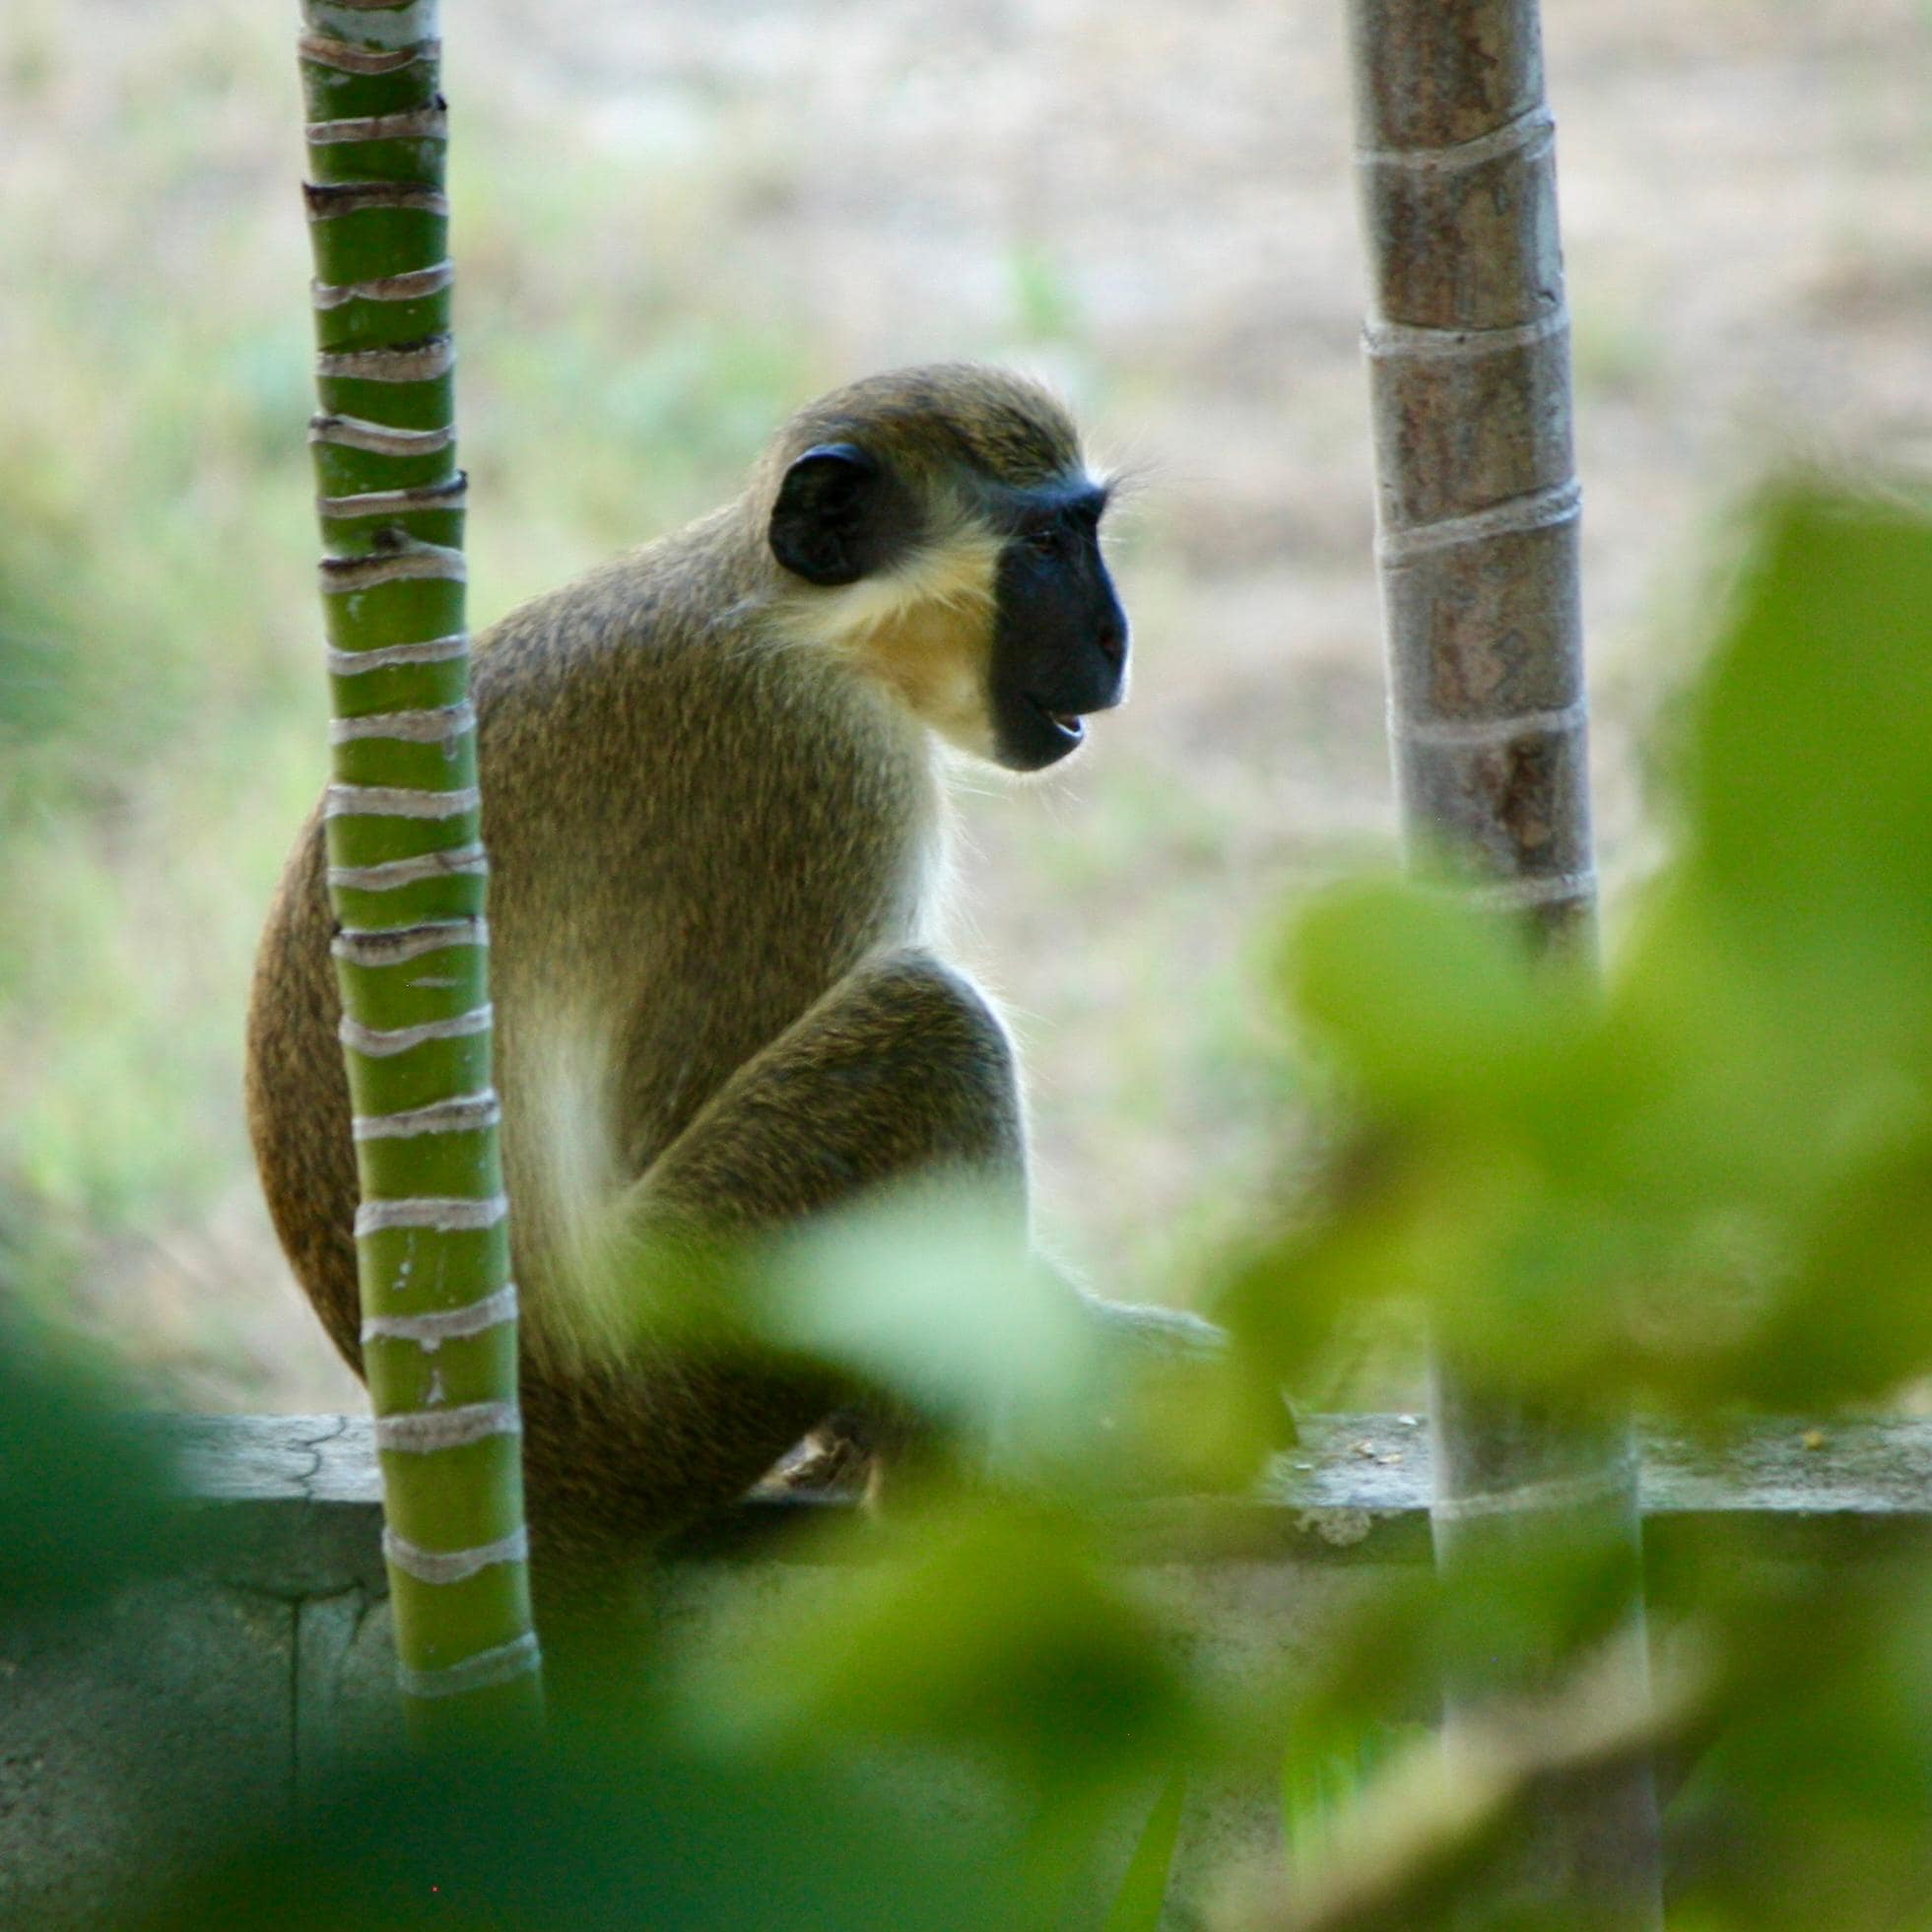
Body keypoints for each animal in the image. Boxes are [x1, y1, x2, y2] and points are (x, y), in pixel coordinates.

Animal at [246, 364, 1222, 1592]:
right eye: (1046, 542)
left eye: (1083, 530)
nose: (1112, 639)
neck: (793, 617)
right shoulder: (827, 769)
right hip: (660, 1371)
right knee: (932, 1025)